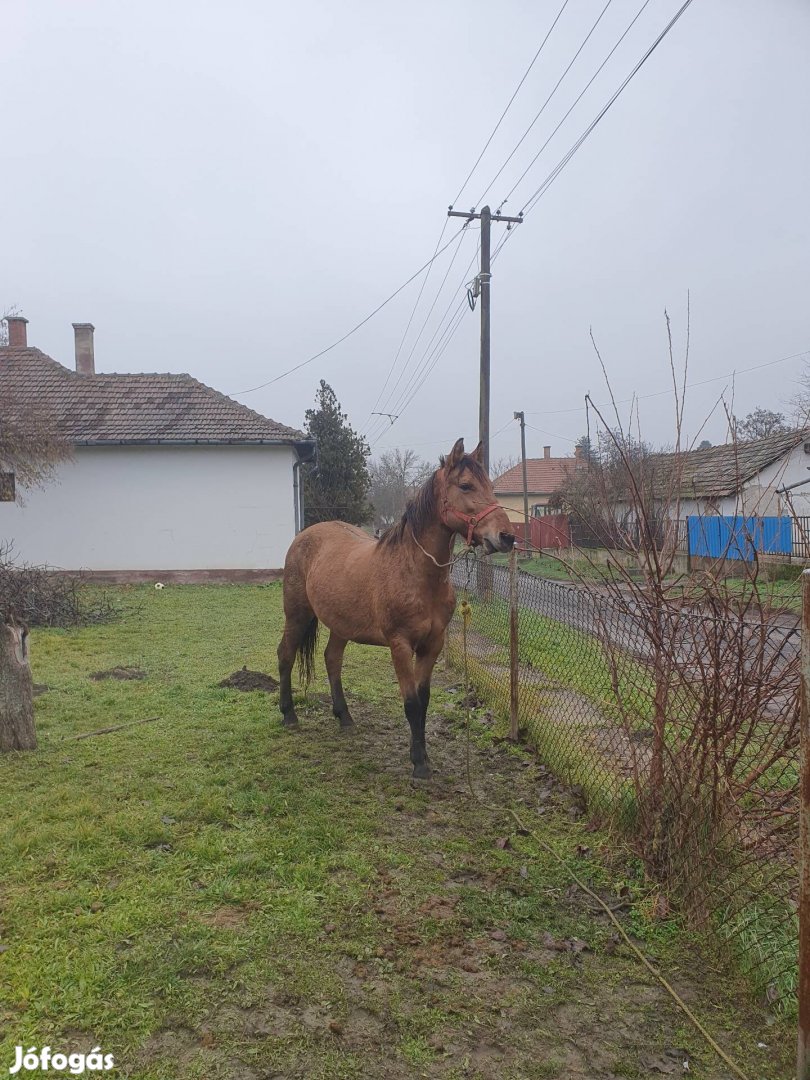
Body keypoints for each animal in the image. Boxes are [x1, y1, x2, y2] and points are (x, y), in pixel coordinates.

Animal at [278, 438, 516, 777]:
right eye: (466, 485)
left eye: (491, 486)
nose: (507, 536)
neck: (417, 574)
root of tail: (305, 536)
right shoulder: (400, 644)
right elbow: (411, 703)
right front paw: (418, 764)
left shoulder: (432, 645)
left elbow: (424, 700)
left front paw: (425, 755)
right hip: (297, 615)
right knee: (285, 654)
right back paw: (289, 715)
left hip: (340, 625)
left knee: (332, 659)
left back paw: (345, 717)